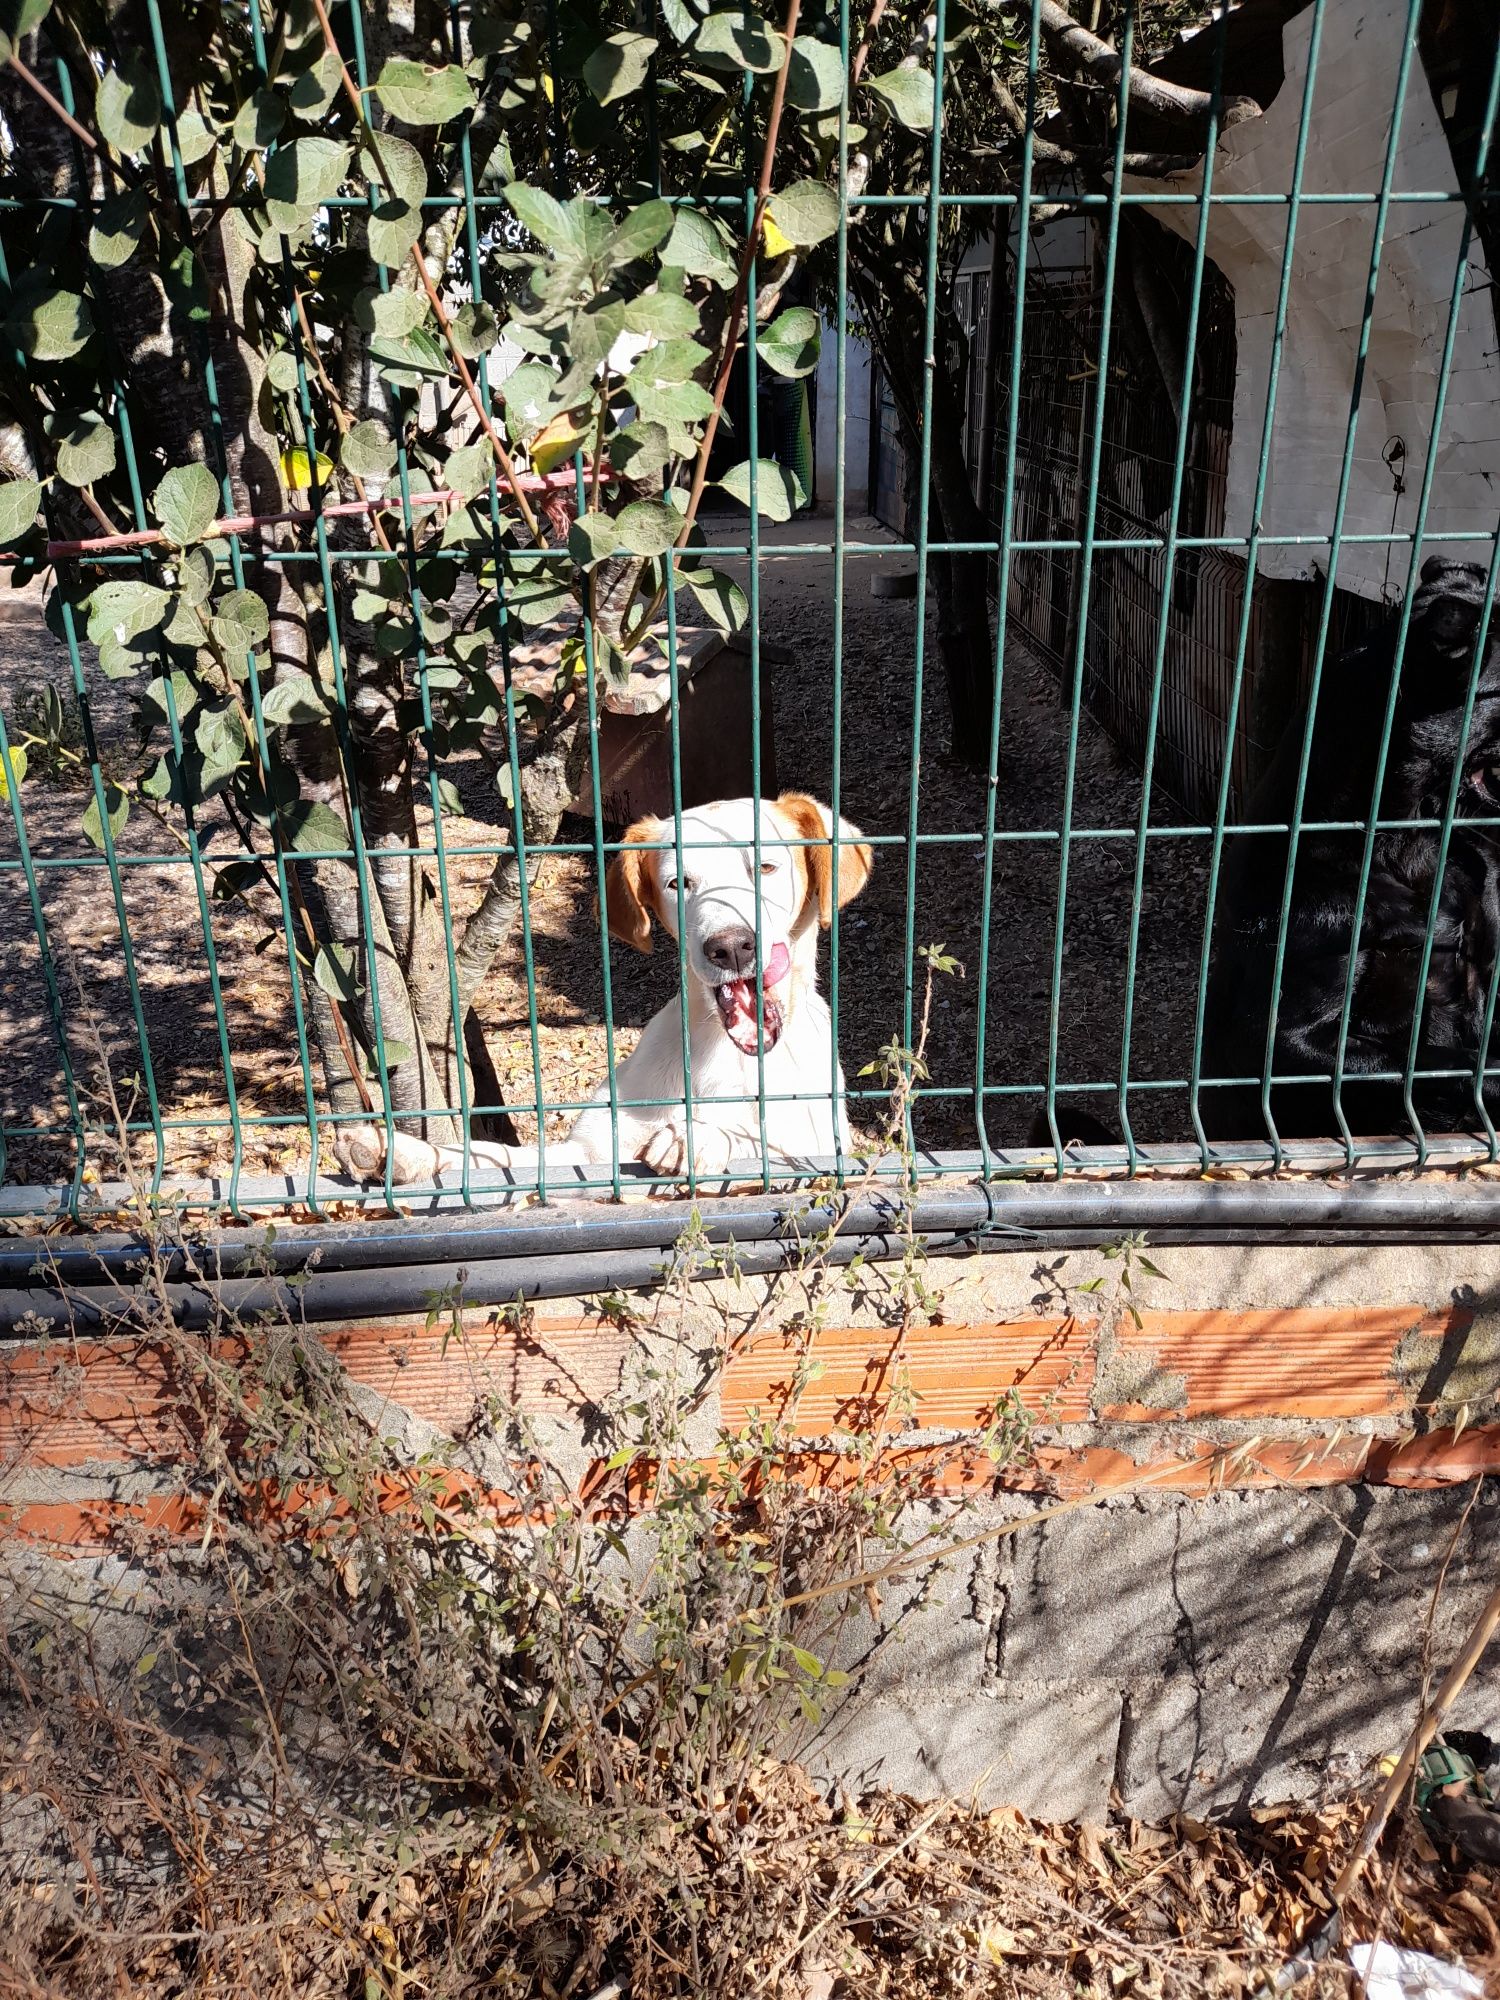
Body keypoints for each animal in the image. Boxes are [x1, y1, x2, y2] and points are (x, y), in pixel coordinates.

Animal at [354, 792, 876, 1184]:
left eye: (765, 867)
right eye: (678, 883)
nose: (730, 947)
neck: (721, 1058)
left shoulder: (820, 1149)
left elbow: (761, 1139)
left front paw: (701, 1135)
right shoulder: (587, 1155)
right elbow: (494, 1156)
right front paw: (405, 1152)